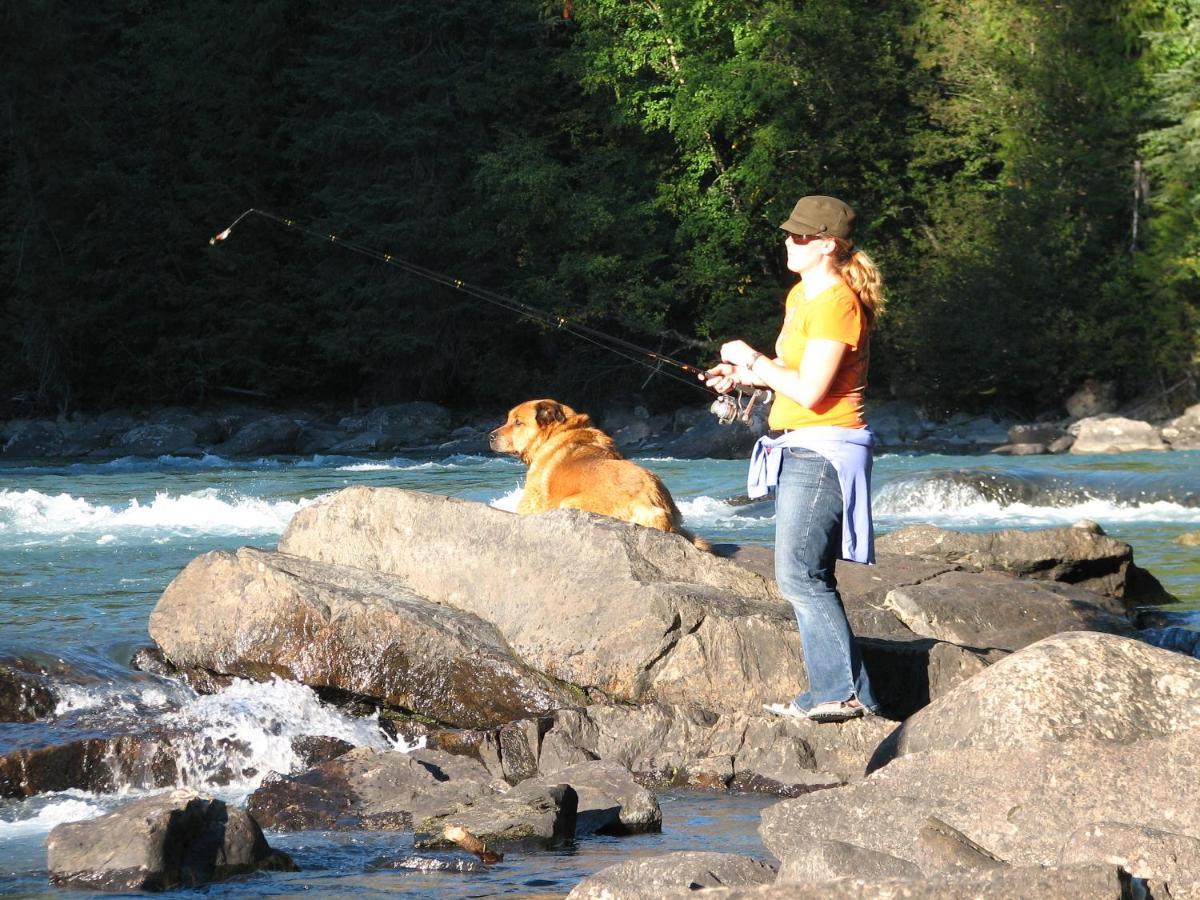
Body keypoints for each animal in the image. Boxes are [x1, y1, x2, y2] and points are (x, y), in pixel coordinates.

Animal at [489, 400, 705, 549]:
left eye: (518, 423)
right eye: (508, 420)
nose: (490, 436)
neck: (558, 433)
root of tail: (651, 502)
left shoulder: (529, 503)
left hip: (569, 503)